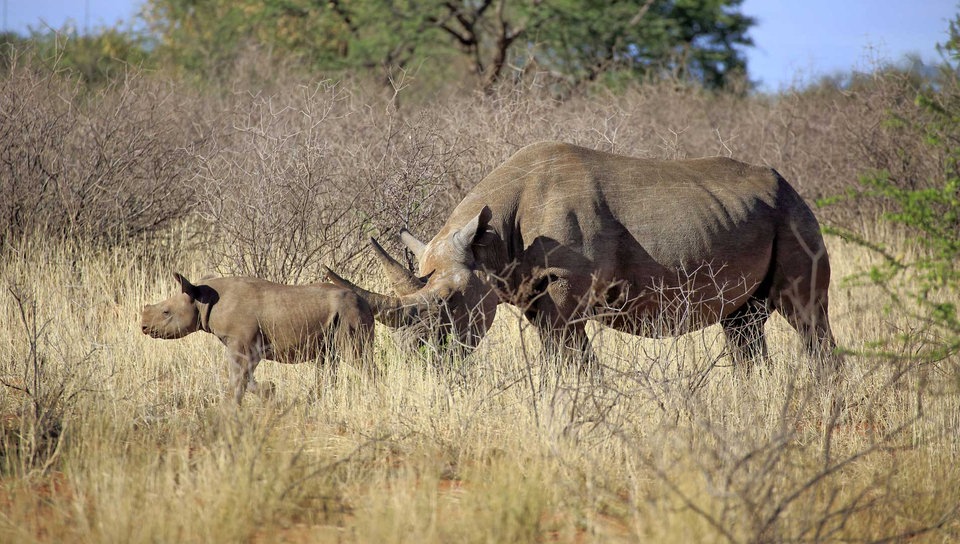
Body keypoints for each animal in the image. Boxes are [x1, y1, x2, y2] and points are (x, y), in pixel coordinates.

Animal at [142, 272, 376, 404]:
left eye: (165, 312)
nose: (143, 327)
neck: (202, 299)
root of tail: (367, 304)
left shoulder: (242, 342)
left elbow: (238, 377)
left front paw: (232, 408)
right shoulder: (247, 344)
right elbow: (245, 377)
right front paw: (269, 391)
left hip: (350, 314)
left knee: (358, 359)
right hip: (337, 320)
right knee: (328, 362)